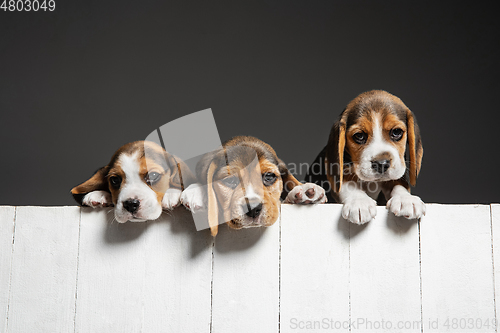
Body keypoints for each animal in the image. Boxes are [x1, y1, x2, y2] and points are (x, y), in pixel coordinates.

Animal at [306, 90, 424, 223]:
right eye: (359, 135)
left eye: (396, 132)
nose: (381, 164)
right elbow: (348, 183)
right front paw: (359, 202)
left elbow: (398, 183)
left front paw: (406, 199)